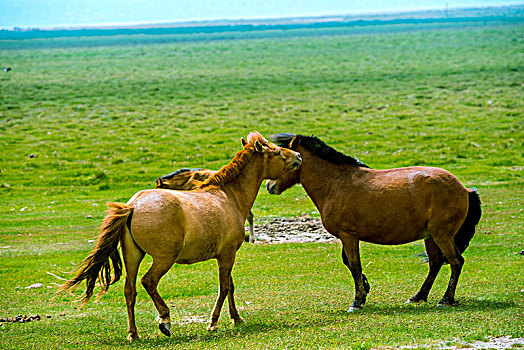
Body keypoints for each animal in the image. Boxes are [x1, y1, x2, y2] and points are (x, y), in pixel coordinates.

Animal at [58, 133, 300, 340]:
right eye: (277, 152)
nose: (298, 156)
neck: (228, 196)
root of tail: (132, 206)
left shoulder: (226, 255)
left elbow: (229, 286)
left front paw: (237, 318)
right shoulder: (227, 254)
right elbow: (223, 287)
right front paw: (213, 322)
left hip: (133, 256)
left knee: (130, 290)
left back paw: (133, 334)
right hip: (164, 258)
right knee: (148, 282)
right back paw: (164, 320)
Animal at [268, 134, 482, 312]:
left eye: (283, 159)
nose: (270, 186)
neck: (335, 183)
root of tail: (464, 189)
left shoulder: (348, 236)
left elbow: (354, 265)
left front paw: (357, 301)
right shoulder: (348, 237)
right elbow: (349, 263)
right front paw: (365, 290)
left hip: (442, 235)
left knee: (456, 262)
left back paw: (446, 299)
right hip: (430, 236)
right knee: (436, 263)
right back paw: (418, 297)